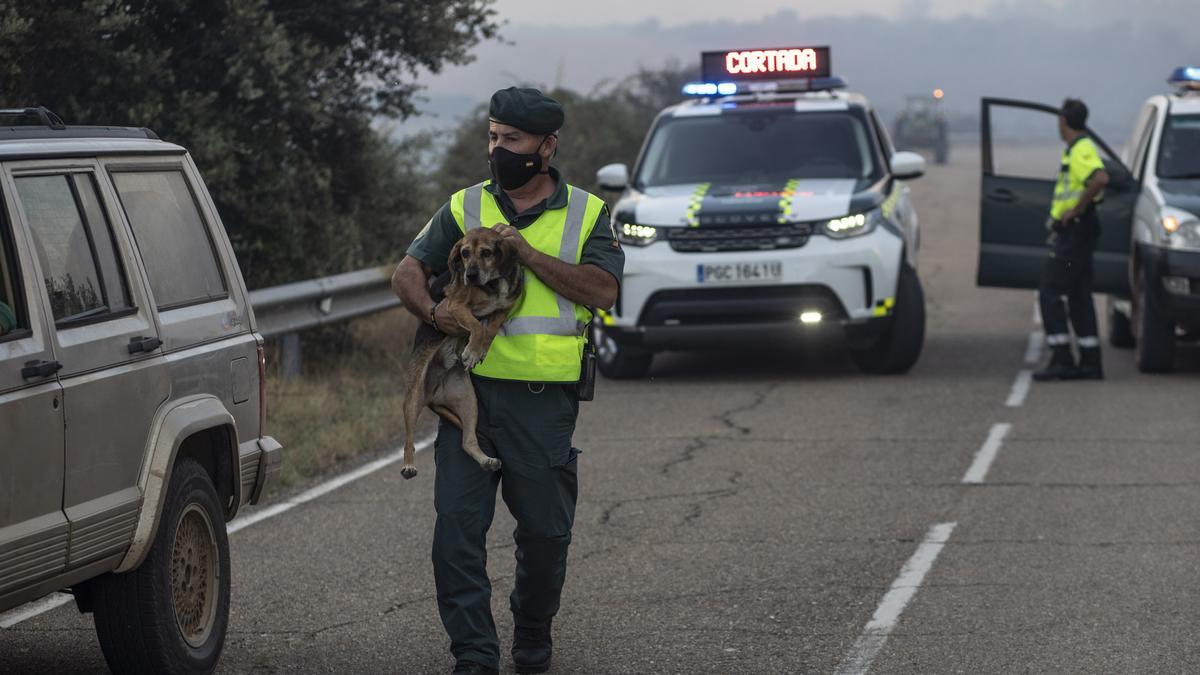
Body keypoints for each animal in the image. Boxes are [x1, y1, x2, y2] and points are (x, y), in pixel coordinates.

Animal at [400, 227, 523, 478]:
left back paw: (486, 461)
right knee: (408, 439)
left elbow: (489, 329)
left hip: (468, 401)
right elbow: (476, 326)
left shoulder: (503, 309)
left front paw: (480, 349)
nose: (470, 275)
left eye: (486, 252)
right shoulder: (456, 306)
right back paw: (408, 465)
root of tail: (433, 394)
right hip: (414, 396)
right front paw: (473, 351)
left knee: (468, 441)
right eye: (464, 253)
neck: (494, 285)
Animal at [1036, 96, 1108, 379]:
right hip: (1082, 264)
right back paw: (1089, 367)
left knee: (1052, 294)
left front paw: (1060, 364)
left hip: (1065, 259)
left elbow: (1098, 177)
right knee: (1081, 303)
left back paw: (1063, 367)